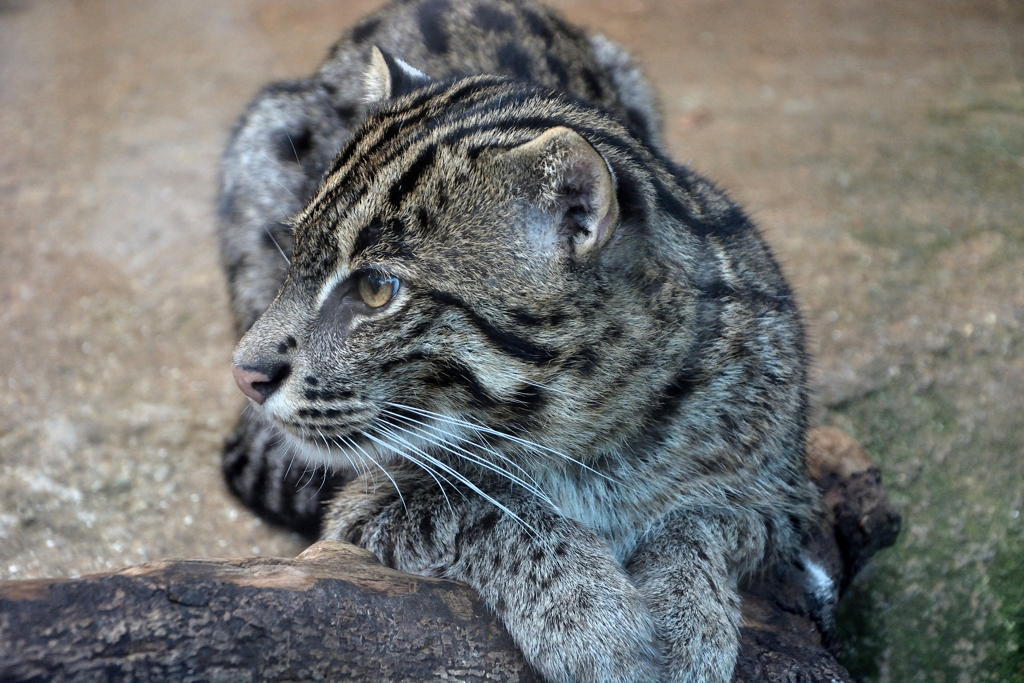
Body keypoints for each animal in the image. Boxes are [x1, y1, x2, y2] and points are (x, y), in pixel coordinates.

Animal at [216, 2, 815, 679]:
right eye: (294, 254)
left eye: (375, 289)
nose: (244, 374)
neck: (596, 440)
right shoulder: (363, 507)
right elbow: (484, 507)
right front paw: (593, 619)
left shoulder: (781, 501)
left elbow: (699, 523)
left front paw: (688, 619)